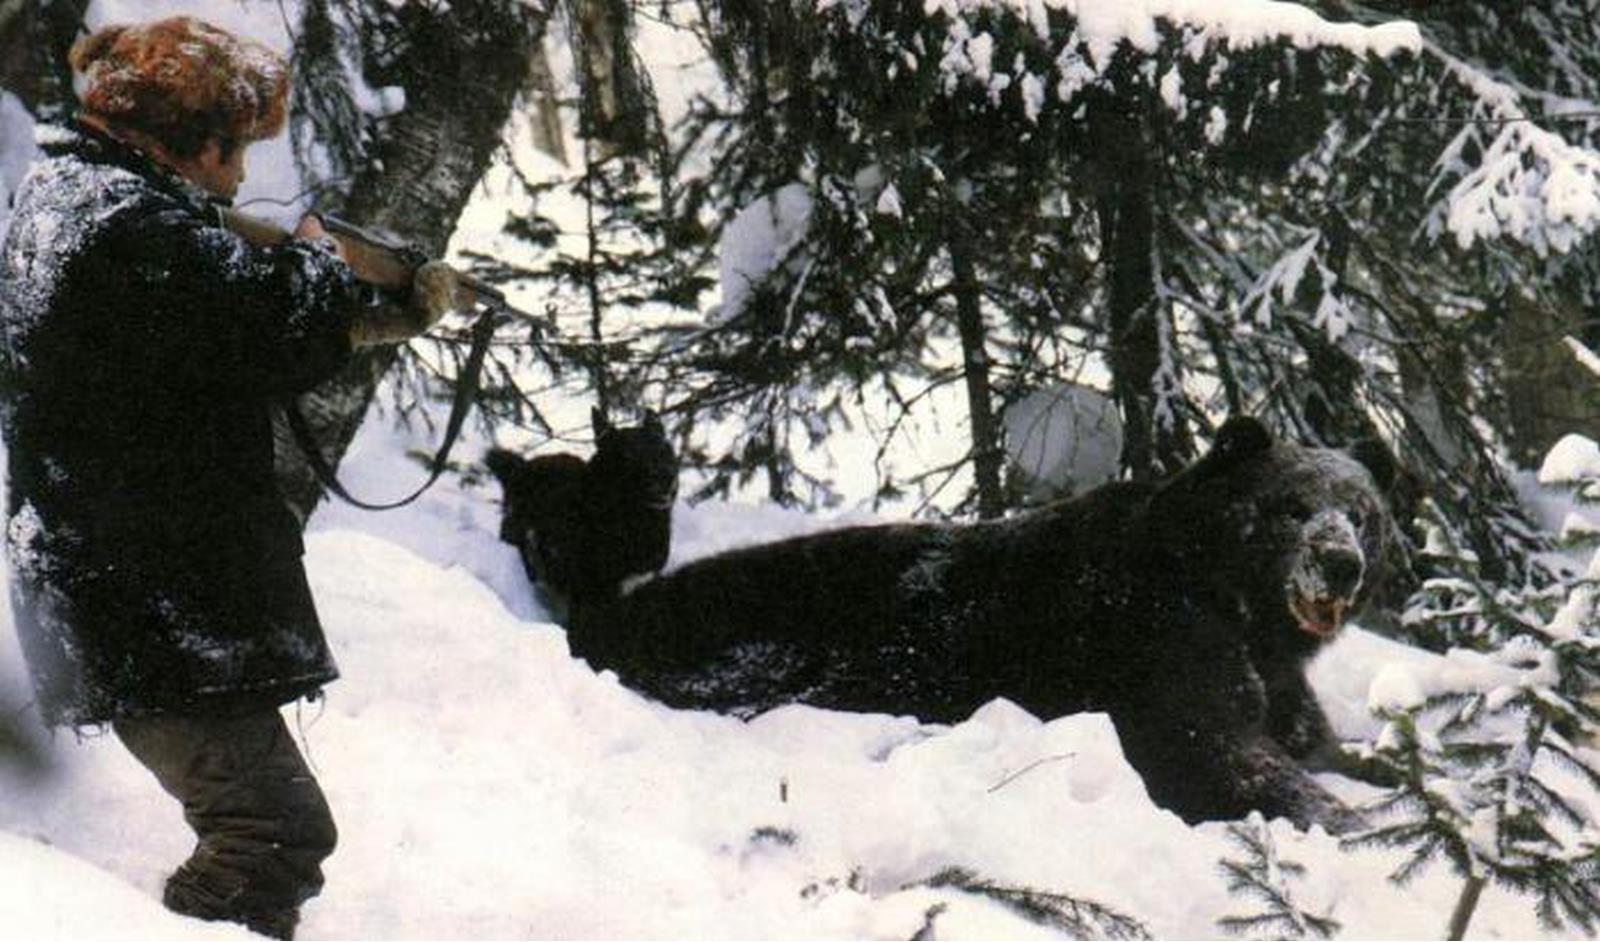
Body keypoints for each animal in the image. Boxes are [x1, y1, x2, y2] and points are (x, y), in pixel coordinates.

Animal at [564, 416, 1400, 833]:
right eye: (1292, 506)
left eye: (1361, 512)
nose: (1340, 563)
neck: (1232, 604)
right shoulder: (1153, 651)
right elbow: (1216, 750)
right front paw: (1347, 820)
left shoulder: (1276, 681)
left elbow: (1317, 742)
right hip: (777, 637)